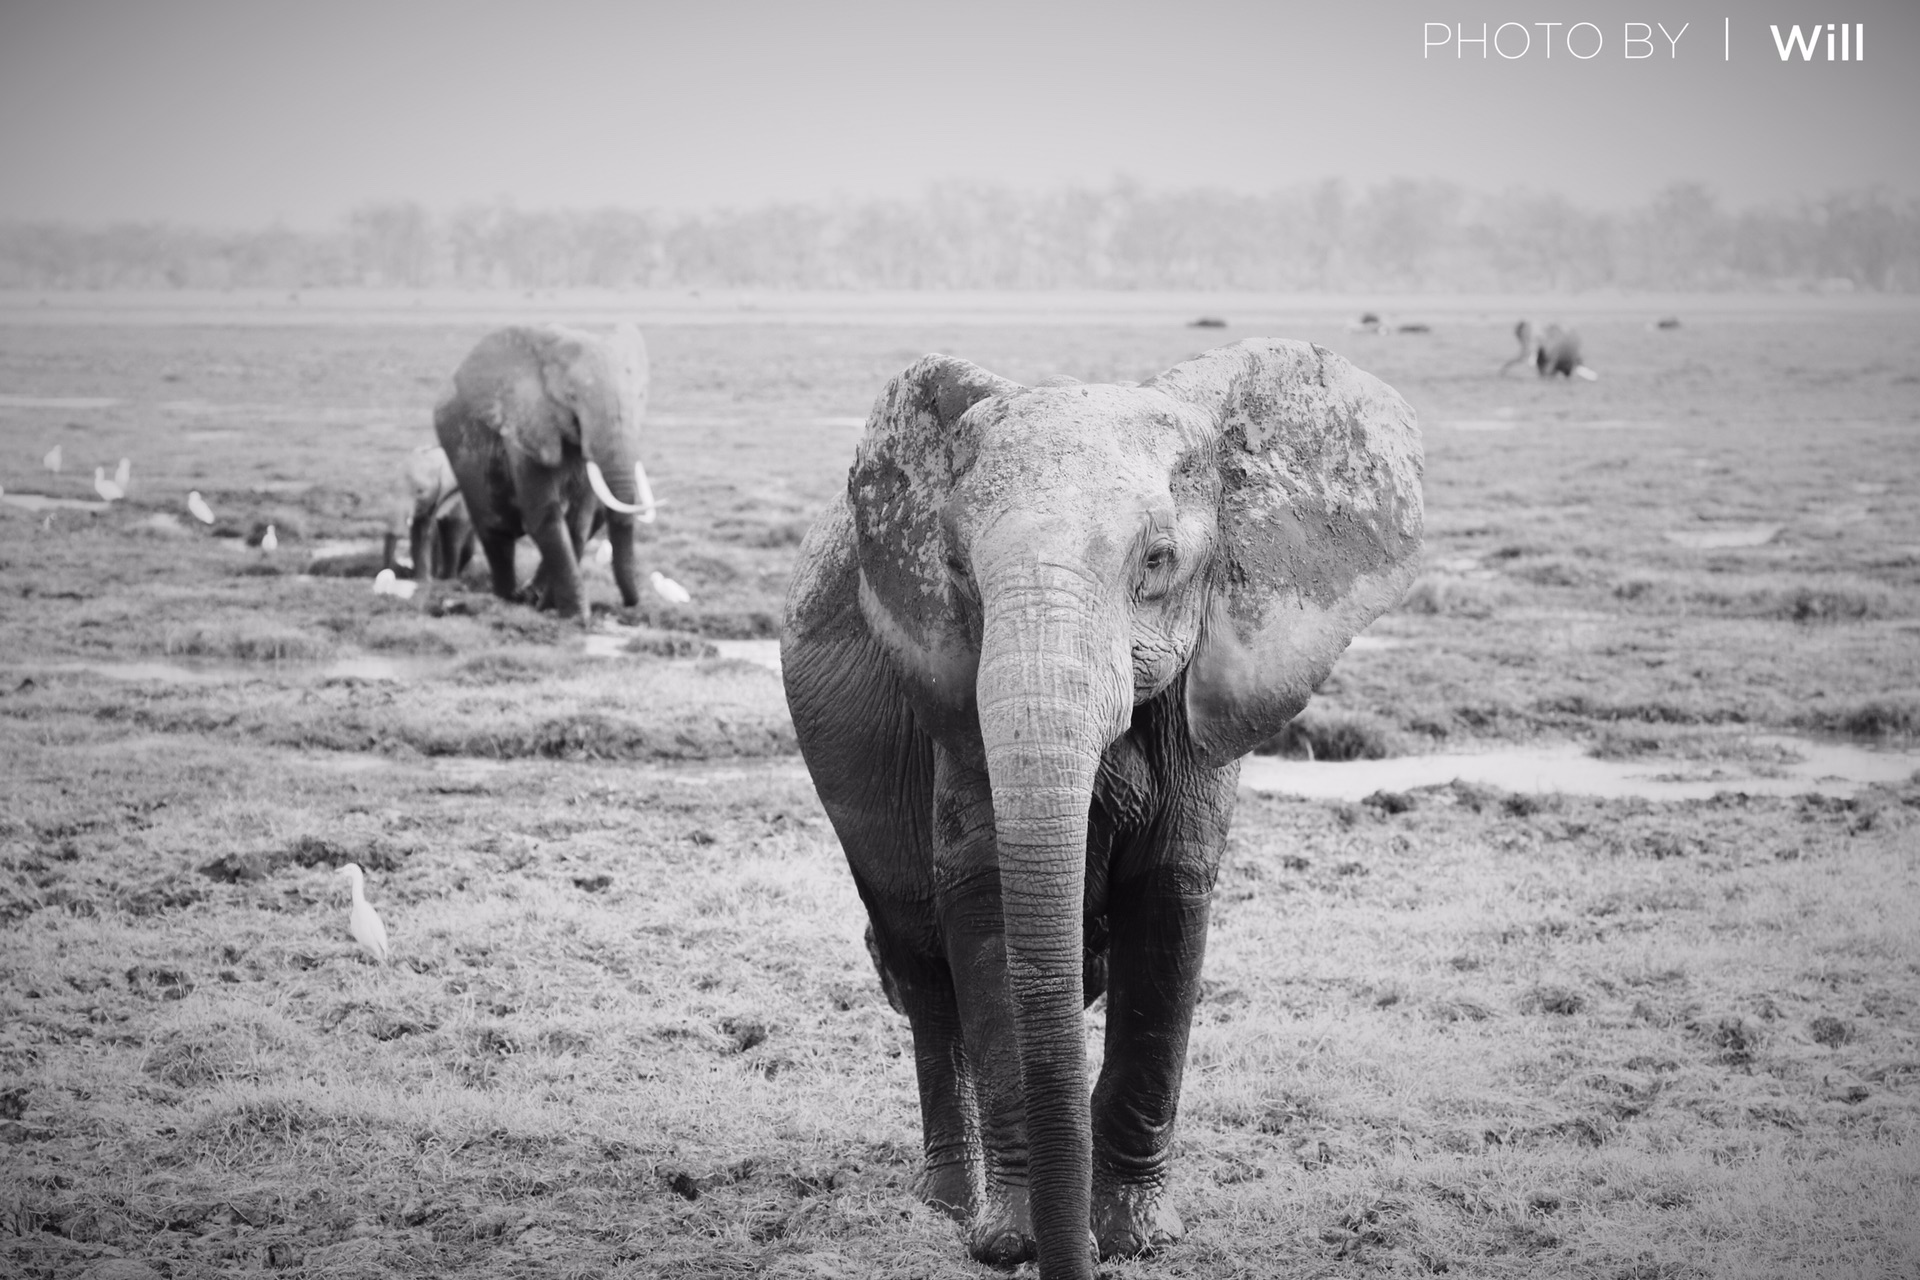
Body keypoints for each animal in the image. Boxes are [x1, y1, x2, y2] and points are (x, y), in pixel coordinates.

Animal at [435, 320, 660, 621]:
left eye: (640, 396)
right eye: (571, 397)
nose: (631, 603)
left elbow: (579, 522)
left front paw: (551, 607)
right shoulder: (525, 421)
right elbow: (545, 516)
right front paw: (577, 616)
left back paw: (531, 595)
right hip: (460, 450)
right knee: (493, 528)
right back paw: (509, 597)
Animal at [779, 335, 1428, 1274]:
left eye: (1156, 562)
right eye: (956, 568)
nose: (1067, 1257)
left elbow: (1171, 897)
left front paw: (1133, 1238)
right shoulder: (954, 700)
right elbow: (984, 902)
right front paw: (1011, 1242)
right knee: (921, 965)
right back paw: (949, 1204)